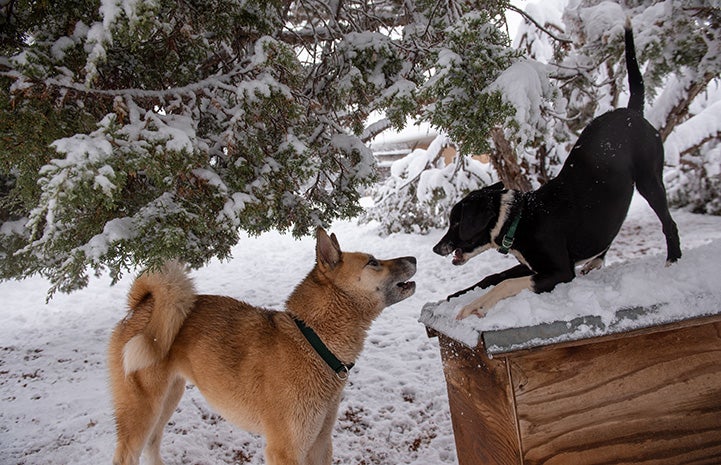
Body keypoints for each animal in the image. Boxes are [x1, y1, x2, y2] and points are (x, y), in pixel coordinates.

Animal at [109, 228, 420, 464]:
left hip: (168, 398)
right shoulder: (285, 450)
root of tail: (142, 305)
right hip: (142, 410)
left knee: (152, 446)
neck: (314, 342)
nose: (414, 257)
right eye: (373, 262)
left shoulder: (320, 442)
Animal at [434, 23, 680, 318]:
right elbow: (492, 278)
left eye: (456, 222)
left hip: (649, 180)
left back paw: (673, 261)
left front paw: (476, 306)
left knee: (668, 223)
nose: (436, 249)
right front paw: (458, 296)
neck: (520, 218)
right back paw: (596, 260)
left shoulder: (560, 271)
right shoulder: (531, 264)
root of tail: (631, 112)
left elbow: (504, 284)